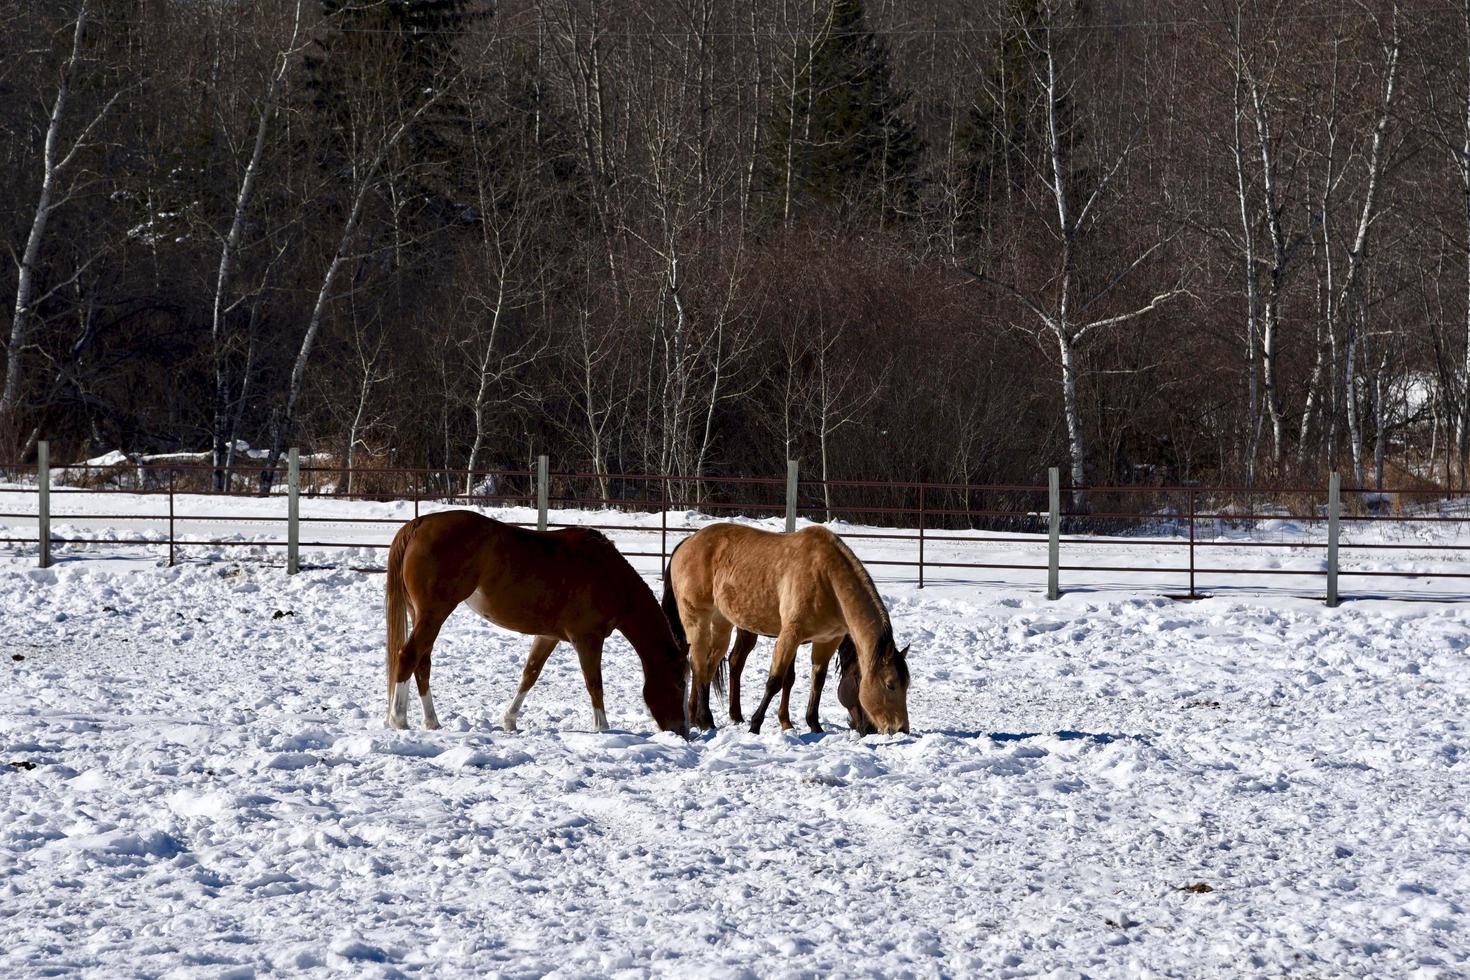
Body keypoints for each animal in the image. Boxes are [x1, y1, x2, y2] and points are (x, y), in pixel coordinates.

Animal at [388, 514, 690, 734]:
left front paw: (509, 720)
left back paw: (431, 721)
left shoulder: (548, 636)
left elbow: (530, 673)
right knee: (409, 656)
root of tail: (419, 523)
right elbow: (594, 682)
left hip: (422, 615)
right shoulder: (588, 639)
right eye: (679, 682)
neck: (609, 575)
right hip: (433, 613)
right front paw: (602, 727)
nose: (683, 731)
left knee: (422, 663)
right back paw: (399, 719)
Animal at [664, 525, 905, 731]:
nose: (901, 728)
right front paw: (756, 725)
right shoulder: (790, 635)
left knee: (711, 665)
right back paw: (705, 720)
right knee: (698, 663)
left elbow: (816, 680)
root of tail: (687, 542)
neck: (827, 578)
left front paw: (812, 725)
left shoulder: (826, 640)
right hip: (698, 621)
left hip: (722, 624)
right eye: (890, 685)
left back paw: (703, 718)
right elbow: (775, 681)